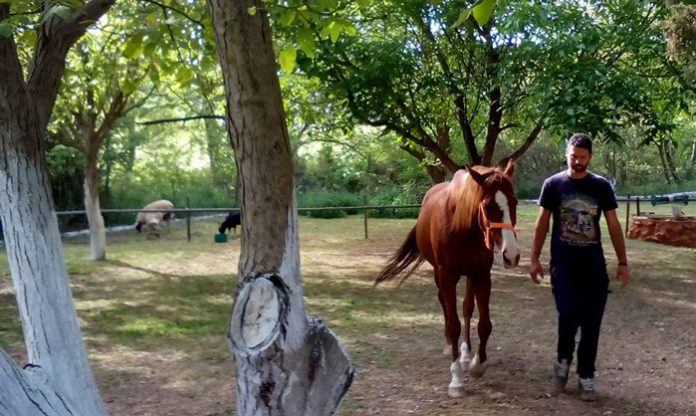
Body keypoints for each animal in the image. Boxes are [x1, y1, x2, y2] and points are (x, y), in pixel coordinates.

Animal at [376, 160, 516, 396]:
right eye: (487, 205)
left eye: (514, 202)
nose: (511, 255)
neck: (463, 227)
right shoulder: (446, 275)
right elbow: (453, 323)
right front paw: (456, 378)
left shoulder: (481, 274)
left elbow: (484, 323)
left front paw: (476, 364)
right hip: (438, 274)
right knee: (443, 303)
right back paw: (450, 345)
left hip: (469, 275)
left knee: (467, 308)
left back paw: (466, 353)